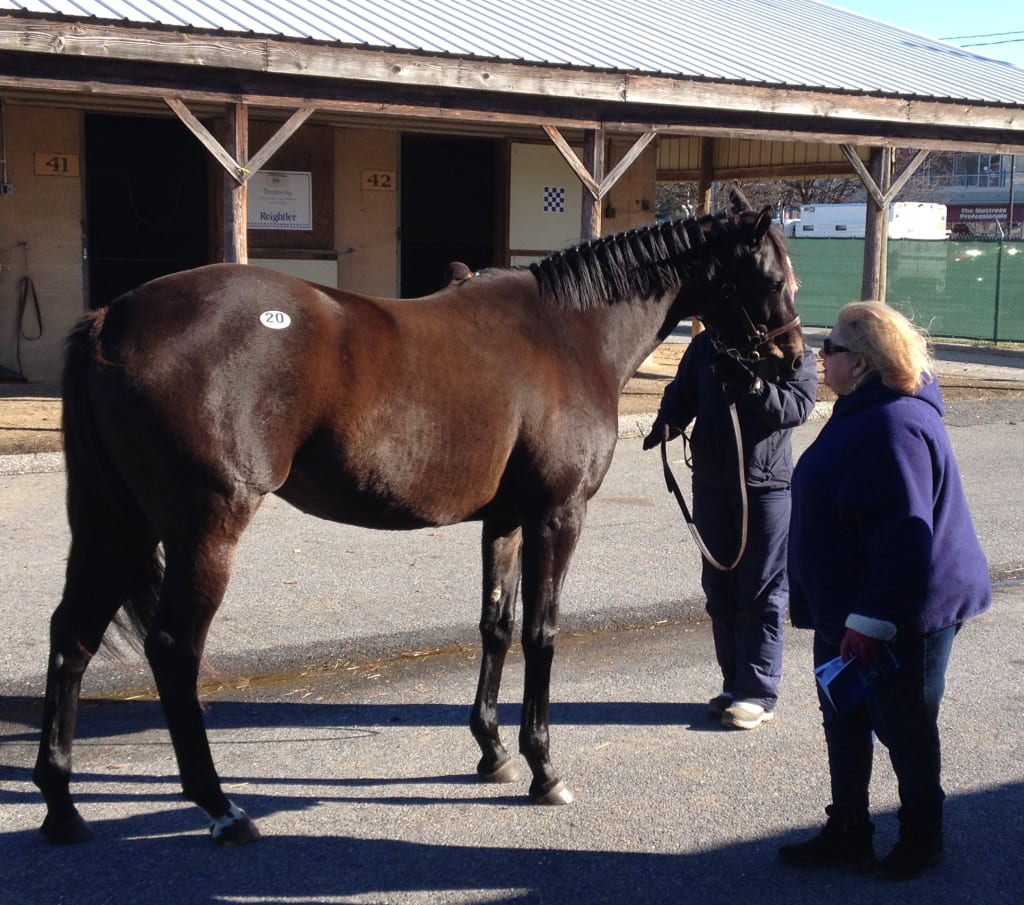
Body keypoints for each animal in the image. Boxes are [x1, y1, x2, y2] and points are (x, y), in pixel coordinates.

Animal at [32, 201, 802, 843]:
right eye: (773, 275)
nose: (793, 358)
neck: (570, 332)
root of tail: (111, 319)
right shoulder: (557, 517)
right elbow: (542, 633)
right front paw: (543, 769)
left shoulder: (506, 520)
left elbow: (496, 626)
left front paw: (493, 752)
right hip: (204, 528)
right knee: (172, 650)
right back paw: (220, 806)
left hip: (116, 525)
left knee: (73, 635)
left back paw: (62, 804)